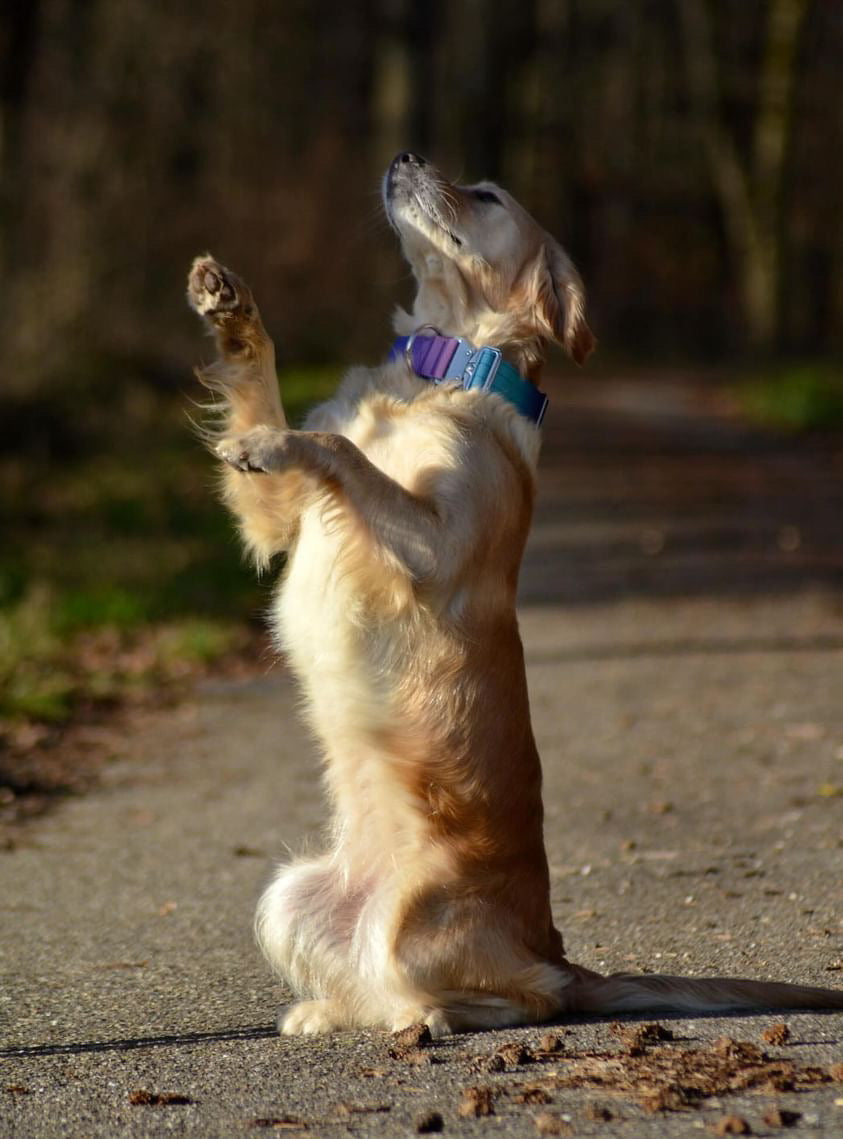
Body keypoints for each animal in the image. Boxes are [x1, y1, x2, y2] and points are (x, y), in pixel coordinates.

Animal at [185, 149, 843, 1034]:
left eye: (487, 193)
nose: (405, 155)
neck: (439, 366)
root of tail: (557, 946)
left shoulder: (433, 546)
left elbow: (335, 448)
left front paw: (276, 436)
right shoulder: (279, 523)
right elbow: (264, 389)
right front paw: (230, 311)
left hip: (418, 927)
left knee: (522, 995)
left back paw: (432, 1017)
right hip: (288, 892)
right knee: (378, 989)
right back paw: (329, 1011)